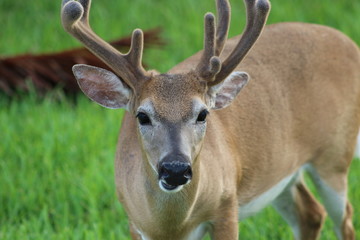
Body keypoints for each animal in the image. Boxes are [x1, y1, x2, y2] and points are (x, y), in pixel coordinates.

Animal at [60, 0, 358, 239]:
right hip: (282, 171)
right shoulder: (134, 221)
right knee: (310, 213)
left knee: (345, 219)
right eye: (142, 116)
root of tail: (349, 43)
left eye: (203, 113)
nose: (175, 168)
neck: (170, 227)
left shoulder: (226, 205)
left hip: (334, 157)